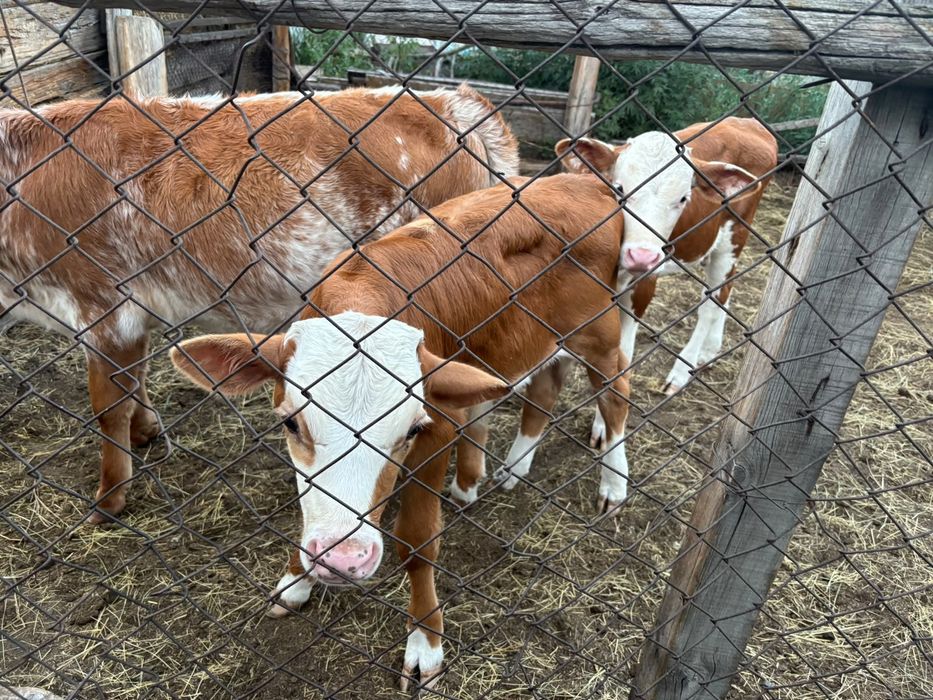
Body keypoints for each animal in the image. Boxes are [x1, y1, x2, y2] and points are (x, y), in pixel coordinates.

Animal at [0, 85, 518, 523]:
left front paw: (109, 498)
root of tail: (455, 103)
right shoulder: (131, 315)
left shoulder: (105, 307)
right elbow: (134, 387)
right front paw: (146, 431)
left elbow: (109, 409)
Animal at [170, 173, 629, 690]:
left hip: (600, 332)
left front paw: (425, 641)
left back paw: (614, 485)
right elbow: (309, 512)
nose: (342, 561)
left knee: (616, 395)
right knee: (546, 385)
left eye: (411, 429)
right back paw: (510, 468)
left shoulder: (440, 426)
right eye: (291, 422)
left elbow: (418, 539)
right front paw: (296, 580)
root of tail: (580, 179)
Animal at [551, 117, 777, 448]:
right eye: (619, 188)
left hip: (734, 235)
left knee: (713, 299)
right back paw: (710, 350)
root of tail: (747, 121)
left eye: (683, 198)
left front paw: (603, 427)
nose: (642, 256)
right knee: (726, 290)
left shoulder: (642, 285)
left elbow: (622, 357)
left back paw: (683, 369)